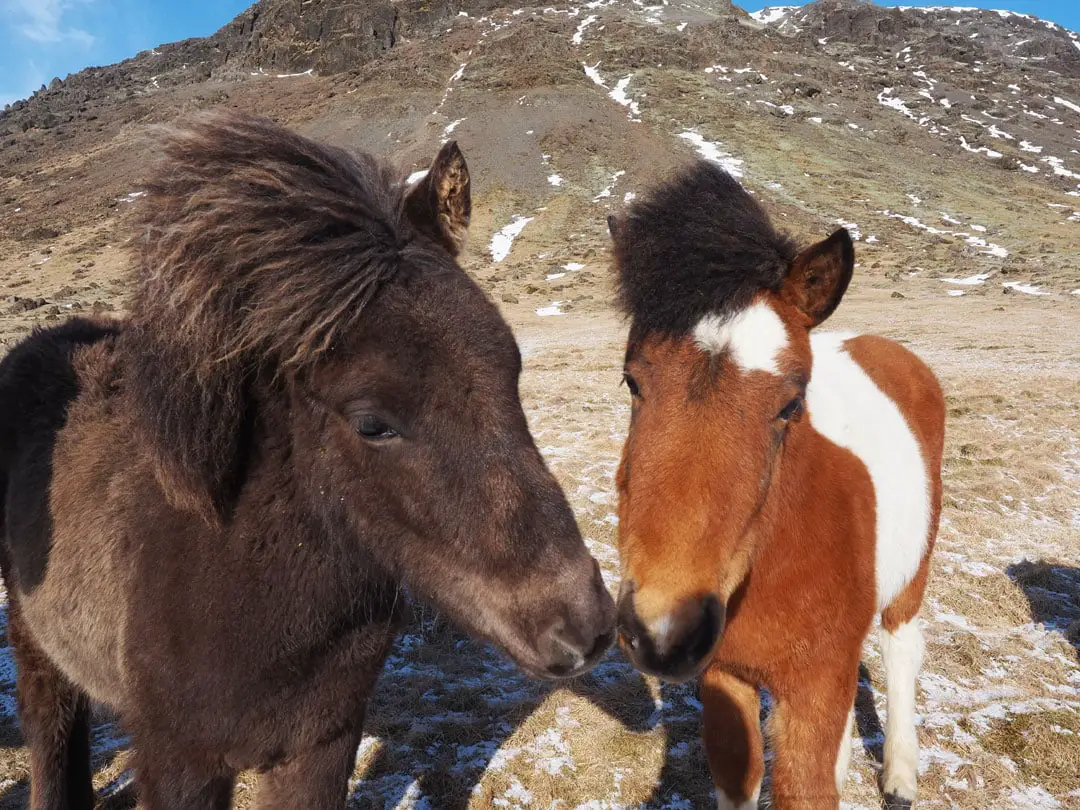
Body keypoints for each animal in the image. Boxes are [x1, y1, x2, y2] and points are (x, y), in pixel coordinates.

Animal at [609, 162, 946, 807]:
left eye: (791, 404)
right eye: (631, 381)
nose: (663, 632)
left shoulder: (812, 690)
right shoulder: (725, 680)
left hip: (912, 576)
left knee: (901, 649)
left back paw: (899, 773)